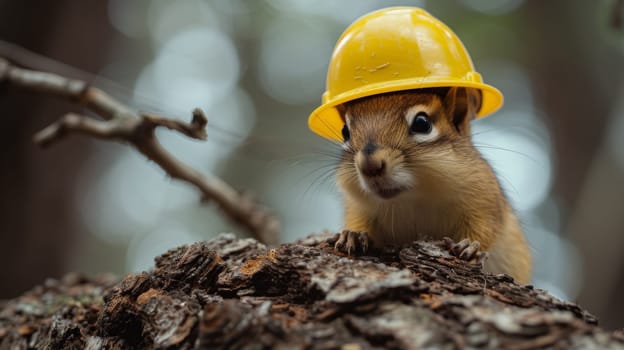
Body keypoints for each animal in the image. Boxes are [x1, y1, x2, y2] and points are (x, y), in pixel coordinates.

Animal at [332, 85, 532, 284]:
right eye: (345, 132)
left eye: (422, 123)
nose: (369, 166)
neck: (413, 199)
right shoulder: (358, 207)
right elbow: (358, 221)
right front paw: (353, 235)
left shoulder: (484, 199)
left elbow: (485, 227)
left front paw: (470, 246)